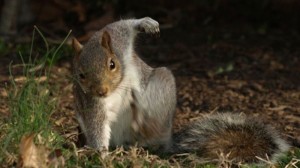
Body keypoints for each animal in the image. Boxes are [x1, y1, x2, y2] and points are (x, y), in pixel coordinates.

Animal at [71, 17, 290, 164]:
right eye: (80, 75)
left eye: (112, 64)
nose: (101, 91)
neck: (116, 86)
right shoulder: (91, 103)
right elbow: (96, 126)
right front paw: (101, 155)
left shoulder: (119, 41)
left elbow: (122, 26)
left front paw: (146, 23)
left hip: (163, 85)